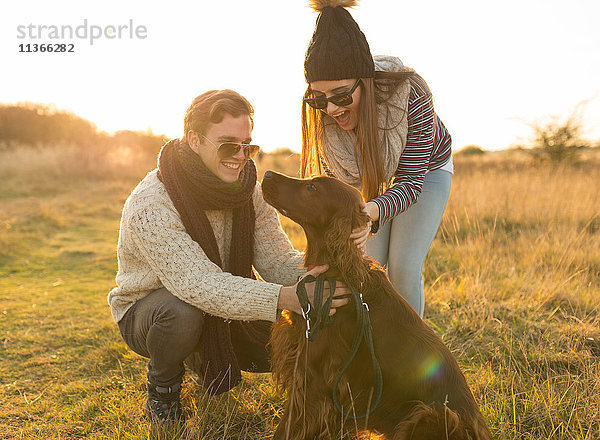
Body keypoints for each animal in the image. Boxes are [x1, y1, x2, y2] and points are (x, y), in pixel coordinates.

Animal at [262, 172, 492, 440]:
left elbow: (287, 427)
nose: (267, 174)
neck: (339, 272)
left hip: (431, 414)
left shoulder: (313, 379)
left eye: (313, 187)